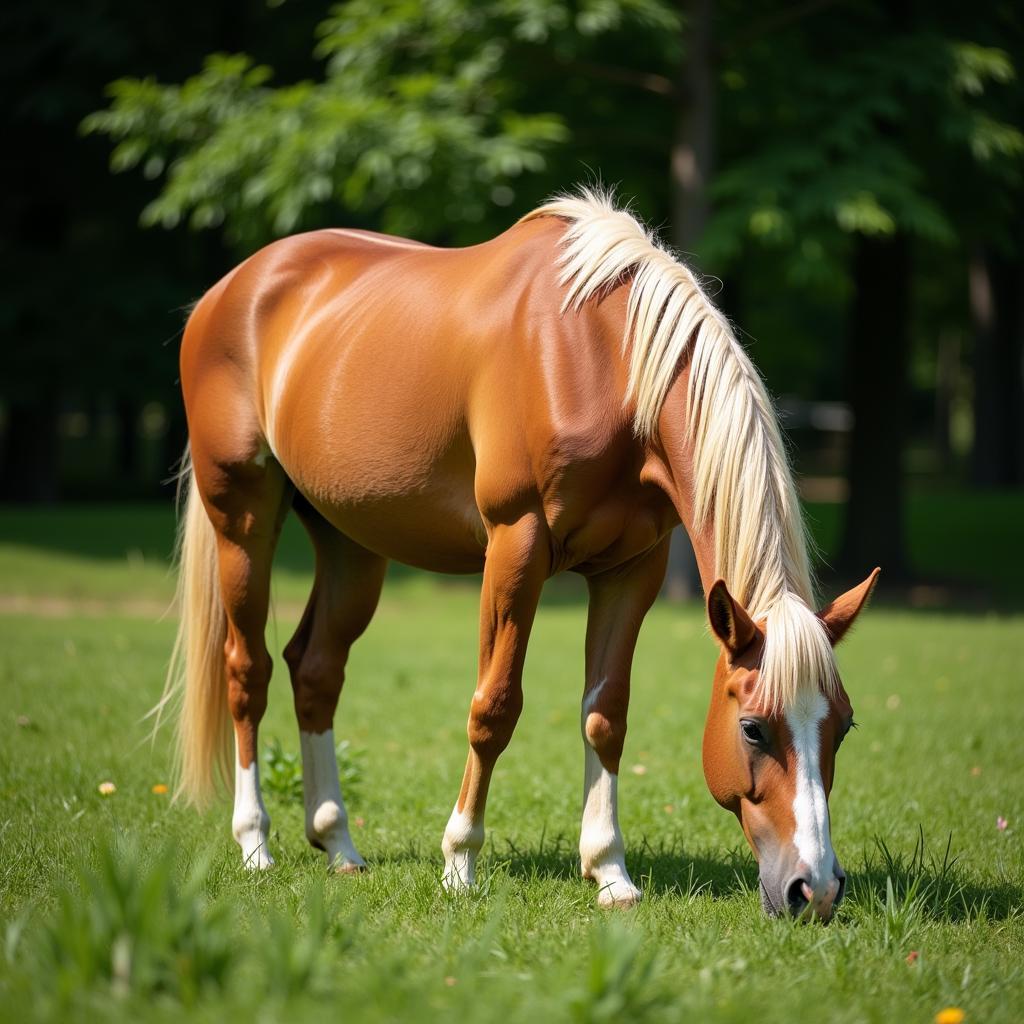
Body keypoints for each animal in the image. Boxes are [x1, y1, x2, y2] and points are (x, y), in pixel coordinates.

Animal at [161, 188, 880, 925]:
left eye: (844, 726)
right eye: (754, 729)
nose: (815, 889)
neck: (600, 355)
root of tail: (228, 291)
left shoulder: (632, 571)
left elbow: (606, 714)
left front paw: (609, 871)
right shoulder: (517, 545)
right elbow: (494, 707)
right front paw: (460, 861)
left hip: (350, 545)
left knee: (315, 669)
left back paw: (338, 843)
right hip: (243, 522)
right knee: (248, 671)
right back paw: (255, 843)